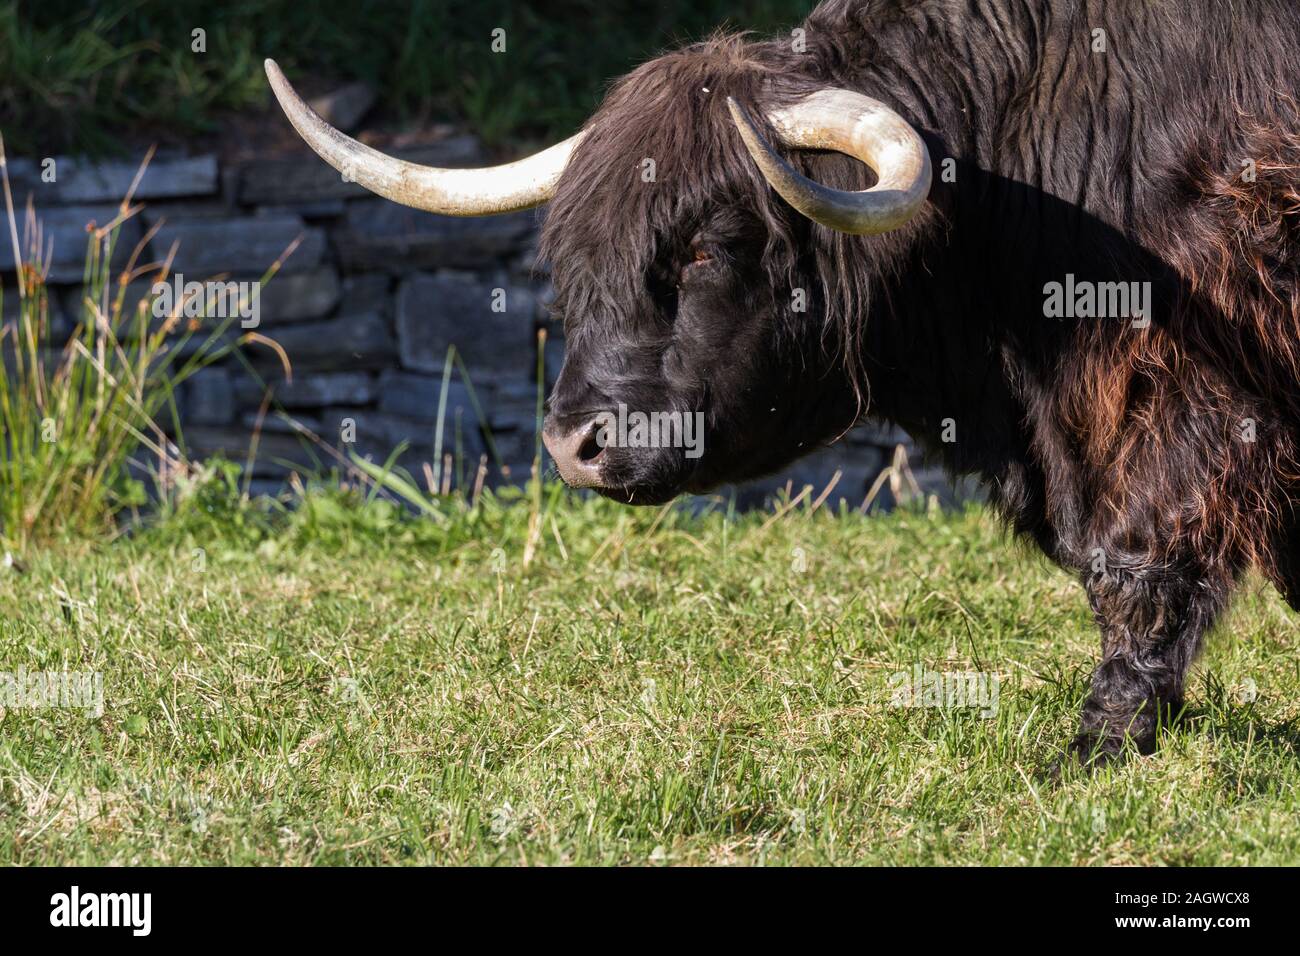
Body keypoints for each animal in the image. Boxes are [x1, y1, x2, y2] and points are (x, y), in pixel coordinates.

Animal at [265, 0, 1300, 764]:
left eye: (705, 249)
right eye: (573, 259)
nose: (573, 444)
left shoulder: (1173, 381)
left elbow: (1137, 560)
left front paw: (1100, 744)